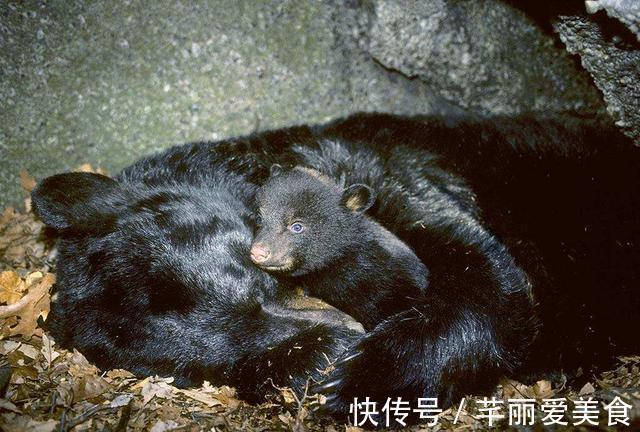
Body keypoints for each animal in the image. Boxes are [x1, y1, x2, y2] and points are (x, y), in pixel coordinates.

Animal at [33, 112, 640, 426]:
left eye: (260, 281)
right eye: (207, 367)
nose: (340, 339)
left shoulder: (386, 175)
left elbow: (494, 286)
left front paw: (359, 377)